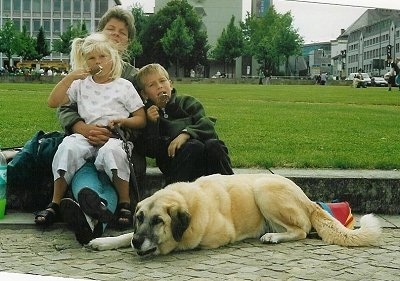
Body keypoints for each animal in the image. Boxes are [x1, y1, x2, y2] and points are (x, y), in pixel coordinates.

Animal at [87, 172, 382, 255]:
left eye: (158, 221)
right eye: (139, 218)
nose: (138, 242)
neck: (192, 202)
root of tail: (307, 198)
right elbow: (124, 235)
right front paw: (105, 241)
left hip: (263, 188)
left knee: (300, 231)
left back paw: (273, 237)